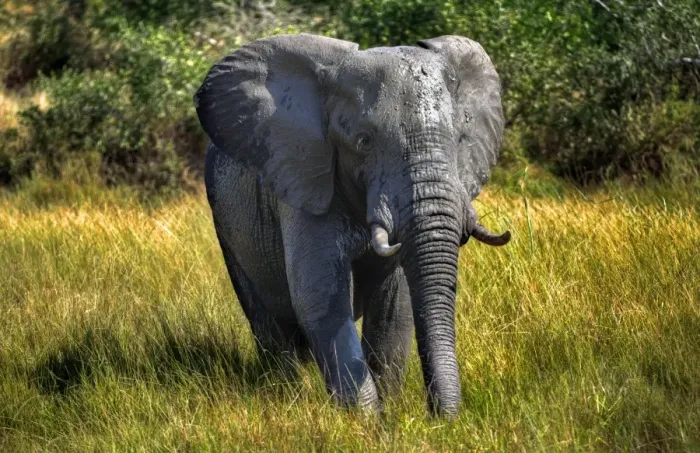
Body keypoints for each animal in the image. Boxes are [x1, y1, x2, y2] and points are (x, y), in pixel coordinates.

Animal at [194, 33, 510, 417]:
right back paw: (286, 399)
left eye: (460, 139)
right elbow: (320, 298)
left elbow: (395, 306)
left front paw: (389, 415)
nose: (440, 418)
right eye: (364, 141)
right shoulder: (305, 182)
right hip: (227, 228)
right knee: (268, 322)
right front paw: (365, 422)